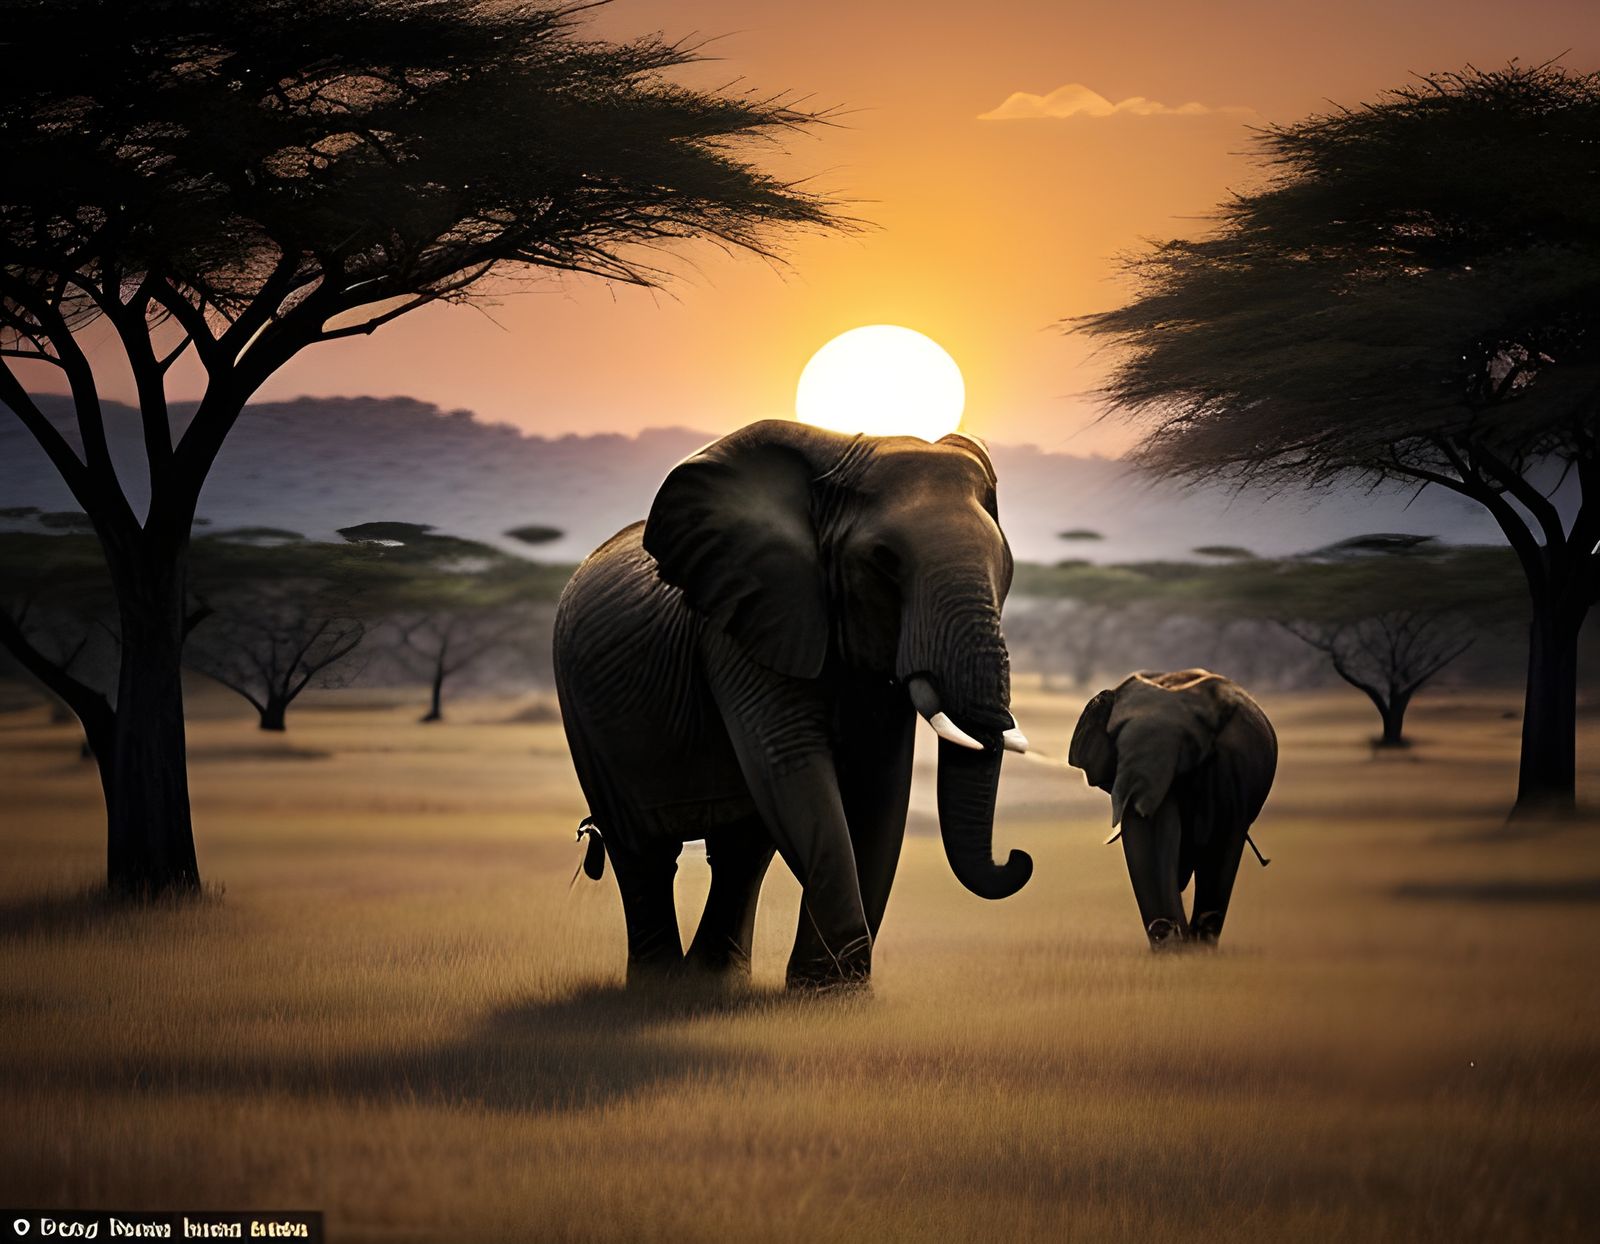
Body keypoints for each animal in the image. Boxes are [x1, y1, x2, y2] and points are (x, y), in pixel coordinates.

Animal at [552, 419, 1033, 988]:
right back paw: (660, 989)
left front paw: (835, 991)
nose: (1017, 859)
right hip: (583, 715)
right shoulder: (741, 621)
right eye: (884, 562)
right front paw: (831, 990)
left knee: (740, 850)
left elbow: (879, 783)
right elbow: (794, 764)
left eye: (1005, 566)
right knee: (642, 850)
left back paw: (710, 983)